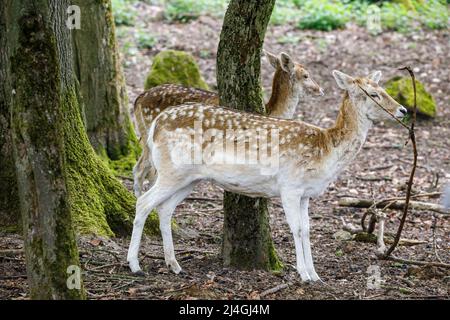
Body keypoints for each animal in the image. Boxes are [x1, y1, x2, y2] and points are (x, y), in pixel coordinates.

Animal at [127, 70, 408, 282]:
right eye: (373, 94)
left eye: (383, 88)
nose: (403, 110)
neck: (326, 150)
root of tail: (155, 126)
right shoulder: (289, 186)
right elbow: (296, 228)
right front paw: (304, 275)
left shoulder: (306, 193)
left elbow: (307, 230)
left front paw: (316, 275)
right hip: (172, 170)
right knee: (143, 202)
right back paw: (135, 265)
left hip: (189, 178)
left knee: (164, 208)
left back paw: (174, 265)